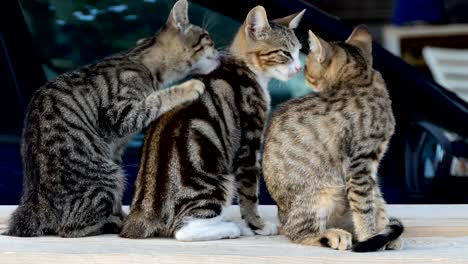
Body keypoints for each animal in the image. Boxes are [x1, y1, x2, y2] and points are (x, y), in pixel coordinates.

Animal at [5, 0, 219, 238]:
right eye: (207, 36)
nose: (219, 51)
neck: (143, 61)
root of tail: (34, 203)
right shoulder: (119, 113)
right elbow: (157, 98)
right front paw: (189, 87)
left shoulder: (116, 148)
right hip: (108, 175)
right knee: (70, 228)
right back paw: (112, 222)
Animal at [119, 5, 304, 241]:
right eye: (285, 53)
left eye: (298, 51)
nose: (299, 68)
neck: (245, 68)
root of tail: (143, 211)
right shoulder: (249, 147)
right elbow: (249, 195)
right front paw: (258, 225)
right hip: (216, 180)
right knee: (184, 231)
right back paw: (232, 228)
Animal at [262, 26, 404, 252]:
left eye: (306, 66)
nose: (302, 73)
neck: (361, 80)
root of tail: (281, 217)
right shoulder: (359, 164)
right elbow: (364, 206)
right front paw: (371, 237)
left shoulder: (368, 167)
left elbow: (372, 202)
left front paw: (379, 232)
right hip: (320, 195)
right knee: (298, 232)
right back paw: (332, 235)